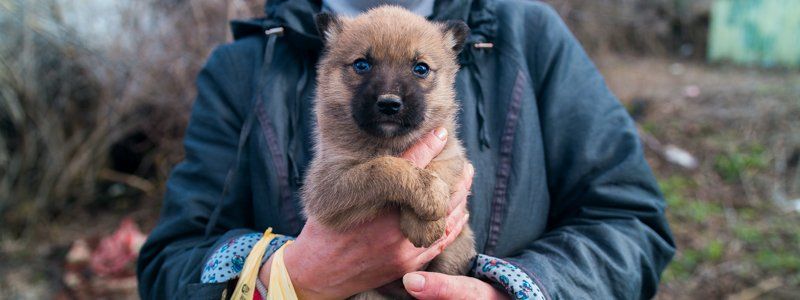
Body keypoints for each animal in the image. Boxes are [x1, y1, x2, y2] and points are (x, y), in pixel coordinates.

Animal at [300, 5, 476, 298]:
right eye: (362, 64)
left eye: (421, 68)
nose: (389, 104)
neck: (390, 142)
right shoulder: (327, 189)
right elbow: (384, 167)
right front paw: (428, 197)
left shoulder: (450, 152)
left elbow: (436, 167)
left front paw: (427, 217)